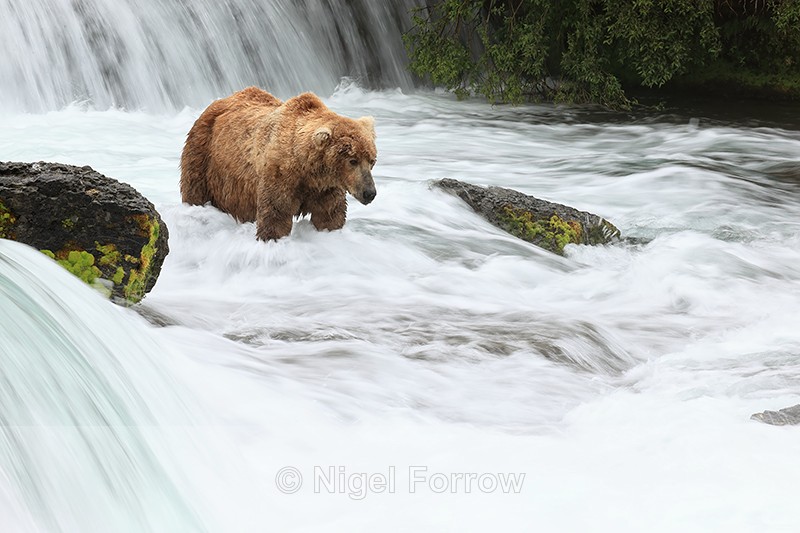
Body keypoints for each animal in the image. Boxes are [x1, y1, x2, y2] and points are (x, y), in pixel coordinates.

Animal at [180, 86, 377, 241]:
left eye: (372, 161)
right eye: (352, 160)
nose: (370, 193)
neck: (308, 169)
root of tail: (218, 101)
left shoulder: (326, 187)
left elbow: (330, 216)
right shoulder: (280, 175)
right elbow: (276, 215)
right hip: (204, 154)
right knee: (195, 189)